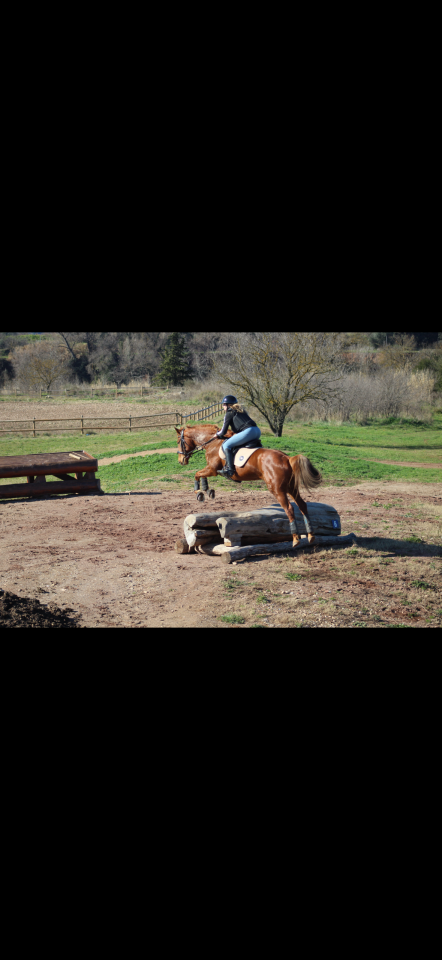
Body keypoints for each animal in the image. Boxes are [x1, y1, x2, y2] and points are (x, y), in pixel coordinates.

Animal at [175, 423, 323, 547]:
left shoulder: (212, 469)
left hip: (277, 489)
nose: (181, 461)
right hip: (291, 487)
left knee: (289, 509)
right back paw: (311, 536)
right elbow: (200, 475)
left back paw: (296, 539)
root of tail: (287, 458)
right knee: (302, 505)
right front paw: (207, 490)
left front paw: (199, 492)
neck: (213, 443)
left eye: (178, 442)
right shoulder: (210, 470)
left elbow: (196, 474)